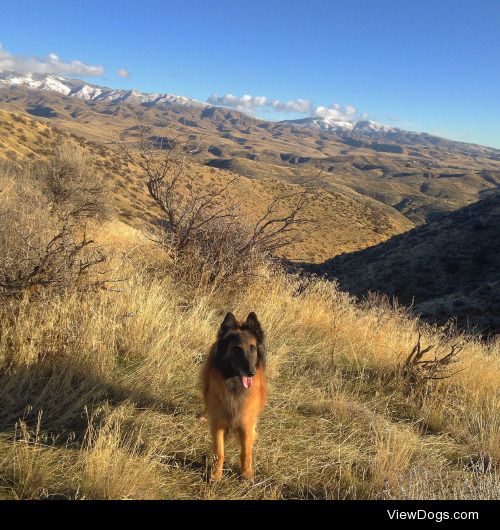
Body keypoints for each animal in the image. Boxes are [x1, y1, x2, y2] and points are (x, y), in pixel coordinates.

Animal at [201, 310, 268, 478]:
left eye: (252, 348)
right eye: (236, 349)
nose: (251, 372)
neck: (234, 384)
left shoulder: (246, 425)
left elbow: (246, 452)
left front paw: (247, 474)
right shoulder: (218, 423)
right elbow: (219, 452)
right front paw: (216, 475)